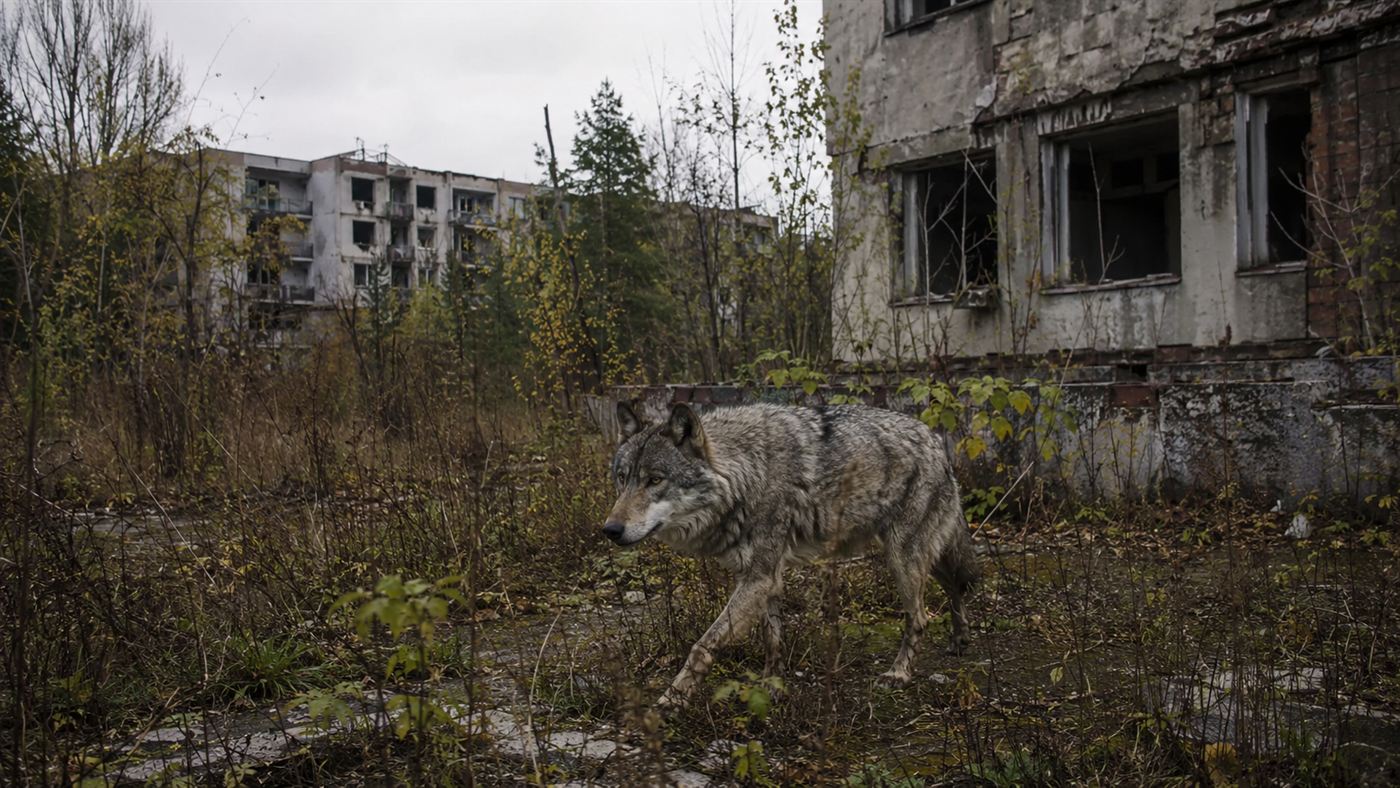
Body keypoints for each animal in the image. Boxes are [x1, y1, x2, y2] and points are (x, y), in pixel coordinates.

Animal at [603, 401, 980, 707]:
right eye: (622, 478)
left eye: (654, 480)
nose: (610, 530)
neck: (746, 474)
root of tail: (935, 440)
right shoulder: (764, 576)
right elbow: (772, 638)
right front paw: (772, 686)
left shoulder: (758, 577)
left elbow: (702, 646)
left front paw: (671, 701)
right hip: (922, 555)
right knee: (955, 586)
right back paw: (960, 639)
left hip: (903, 560)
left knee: (920, 617)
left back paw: (899, 673)